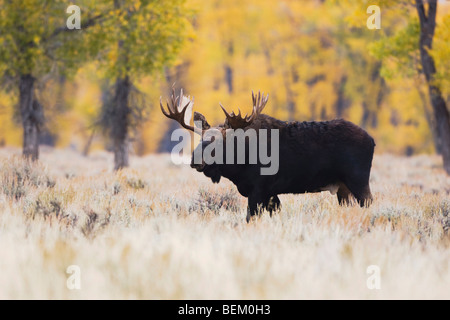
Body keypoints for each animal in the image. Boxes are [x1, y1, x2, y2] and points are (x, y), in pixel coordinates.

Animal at [160, 89, 374, 221]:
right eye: (200, 139)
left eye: (218, 142)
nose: (195, 161)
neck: (238, 166)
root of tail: (372, 140)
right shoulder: (270, 193)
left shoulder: (259, 189)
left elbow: (249, 218)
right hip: (343, 188)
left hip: (358, 180)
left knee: (369, 203)